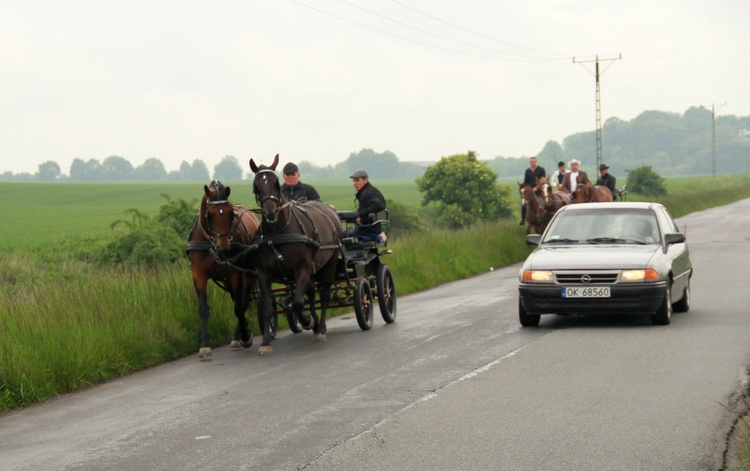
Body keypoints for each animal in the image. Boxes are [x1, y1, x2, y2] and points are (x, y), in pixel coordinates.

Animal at [185, 181, 262, 358]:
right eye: (210, 214)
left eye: (230, 213)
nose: (224, 246)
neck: (210, 243)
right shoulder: (198, 274)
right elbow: (203, 309)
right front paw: (204, 345)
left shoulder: (235, 274)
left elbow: (238, 307)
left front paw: (246, 335)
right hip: (227, 281)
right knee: (239, 300)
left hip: (246, 274)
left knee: (243, 301)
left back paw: (241, 335)